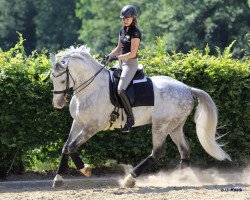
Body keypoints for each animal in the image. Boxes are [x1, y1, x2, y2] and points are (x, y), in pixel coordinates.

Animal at [49, 45, 231, 188]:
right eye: (51, 78)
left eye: (62, 80)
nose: (57, 103)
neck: (91, 87)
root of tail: (187, 88)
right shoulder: (78, 122)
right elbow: (66, 146)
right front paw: (58, 178)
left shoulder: (93, 126)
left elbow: (72, 146)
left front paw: (85, 169)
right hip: (175, 126)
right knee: (184, 149)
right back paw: (180, 178)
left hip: (161, 126)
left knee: (158, 151)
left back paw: (130, 179)